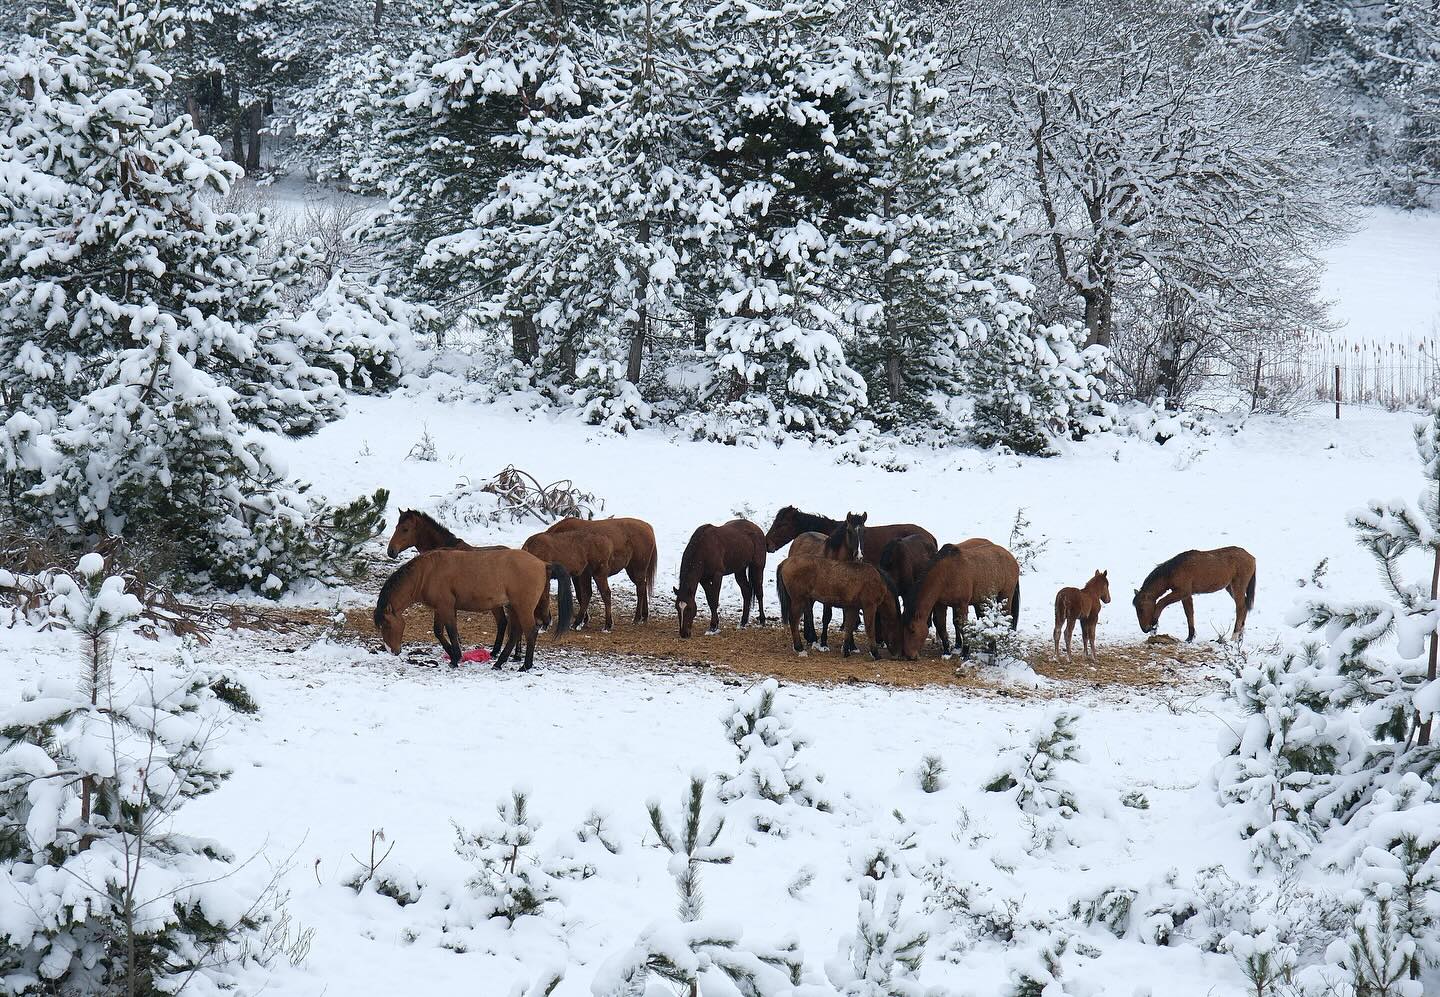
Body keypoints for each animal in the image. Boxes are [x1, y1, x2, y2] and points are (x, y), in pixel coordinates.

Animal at [371, 550, 573, 674]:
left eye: (386, 625)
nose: (392, 651)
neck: (428, 572)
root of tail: (543, 563)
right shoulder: (441, 608)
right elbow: (438, 631)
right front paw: (454, 655)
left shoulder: (446, 607)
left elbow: (451, 631)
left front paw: (455, 658)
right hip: (514, 607)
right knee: (516, 633)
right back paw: (499, 663)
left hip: (522, 607)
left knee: (530, 632)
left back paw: (525, 666)